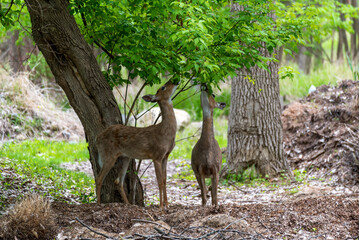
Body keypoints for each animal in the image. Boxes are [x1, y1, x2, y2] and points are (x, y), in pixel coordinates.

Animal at [95, 79, 180, 207]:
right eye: (163, 87)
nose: (176, 80)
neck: (165, 131)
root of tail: (97, 139)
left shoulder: (166, 155)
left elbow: (165, 181)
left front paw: (167, 204)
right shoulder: (156, 155)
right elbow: (159, 181)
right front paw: (161, 206)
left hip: (125, 157)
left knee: (117, 181)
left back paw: (129, 204)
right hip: (108, 154)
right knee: (99, 178)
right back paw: (98, 203)